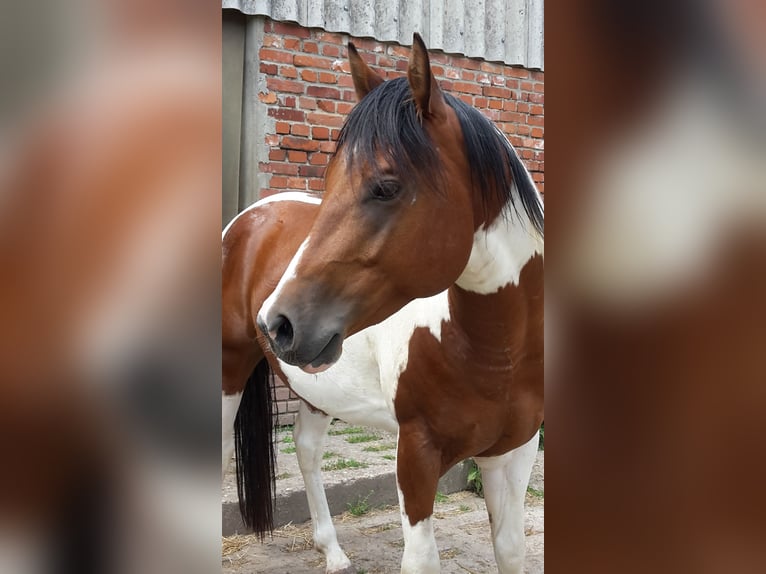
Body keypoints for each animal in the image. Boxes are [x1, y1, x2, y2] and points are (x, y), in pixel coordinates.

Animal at [222, 35, 544, 574]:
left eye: (386, 187)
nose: (277, 323)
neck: (494, 351)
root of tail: (249, 219)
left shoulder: (514, 454)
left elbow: (512, 551)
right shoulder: (415, 455)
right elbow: (422, 559)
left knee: (306, 450)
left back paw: (332, 551)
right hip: (230, 367)